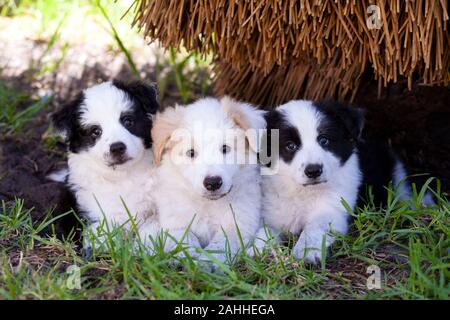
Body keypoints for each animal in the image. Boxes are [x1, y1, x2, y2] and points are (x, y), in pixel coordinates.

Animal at [50, 80, 160, 250]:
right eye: (96, 131)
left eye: (128, 121)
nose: (117, 148)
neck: (122, 176)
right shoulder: (94, 211)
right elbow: (104, 233)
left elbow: (153, 229)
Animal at [151, 96, 266, 266]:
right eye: (191, 152)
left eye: (225, 149)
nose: (213, 182)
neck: (208, 205)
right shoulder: (174, 222)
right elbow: (185, 239)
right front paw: (188, 259)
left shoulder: (238, 223)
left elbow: (222, 244)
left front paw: (209, 262)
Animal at [256, 100, 432, 262]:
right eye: (290, 146)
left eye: (324, 140)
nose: (313, 171)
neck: (303, 191)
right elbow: (263, 230)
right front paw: (257, 248)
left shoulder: (334, 208)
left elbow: (316, 226)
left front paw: (307, 251)